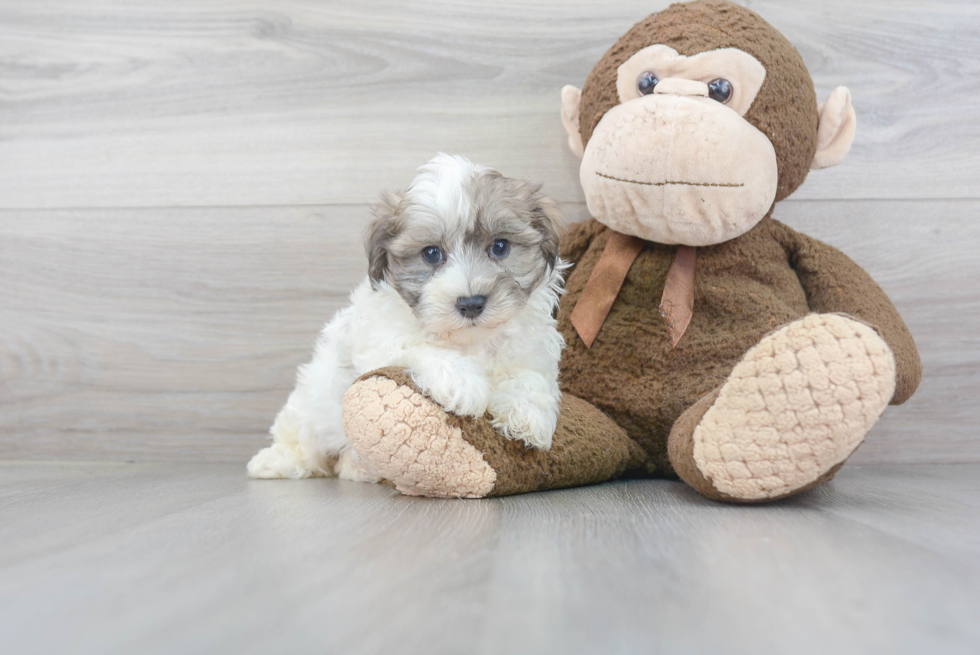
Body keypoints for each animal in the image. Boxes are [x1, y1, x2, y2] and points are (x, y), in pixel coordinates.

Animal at [247, 154, 568, 482]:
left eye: (500, 246)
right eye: (431, 254)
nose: (471, 303)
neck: (468, 339)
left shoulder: (530, 347)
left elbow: (528, 375)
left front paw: (527, 415)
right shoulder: (380, 340)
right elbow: (421, 346)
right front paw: (464, 383)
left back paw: (356, 467)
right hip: (313, 399)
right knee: (302, 438)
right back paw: (275, 462)